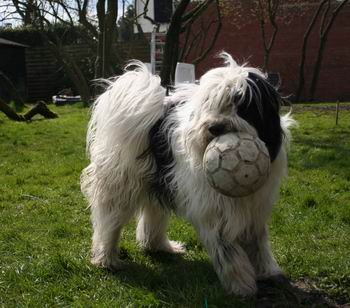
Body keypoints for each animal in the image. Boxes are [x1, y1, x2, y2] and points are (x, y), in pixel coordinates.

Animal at [80, 53, 294, 296]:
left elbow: (259, 242)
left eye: (242, 105)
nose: (216, 127)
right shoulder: (215, 210)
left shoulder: (255, 207)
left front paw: (268, 271)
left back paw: (160, 246)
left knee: (154, 211)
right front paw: (241, 283)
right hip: (121, 183)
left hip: (160, 179)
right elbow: (228, 250)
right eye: (211, 104)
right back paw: (106, 257)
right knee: (109, 221)